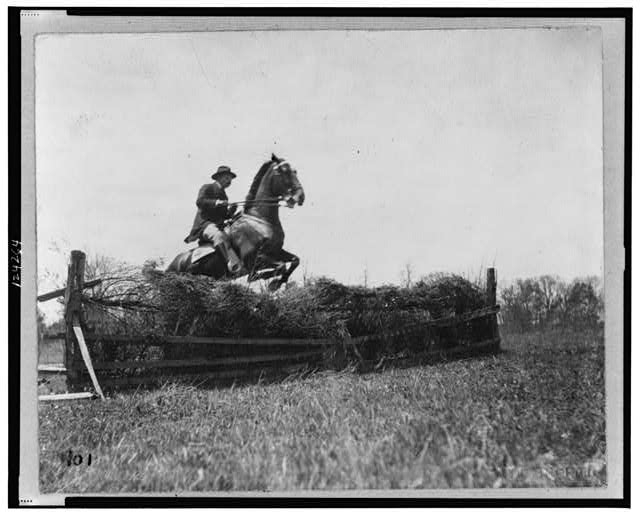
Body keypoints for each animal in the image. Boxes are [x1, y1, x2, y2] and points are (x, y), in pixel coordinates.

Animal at [165, 153, 304, 290]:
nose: (301, 197)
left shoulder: (276, 251)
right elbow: (275, 268)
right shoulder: (254, 259)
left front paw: (277, 282)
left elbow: (295, 260)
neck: (259, 220)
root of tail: (172, 264)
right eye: (284, 171)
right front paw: (272, 283)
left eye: (295, 171)